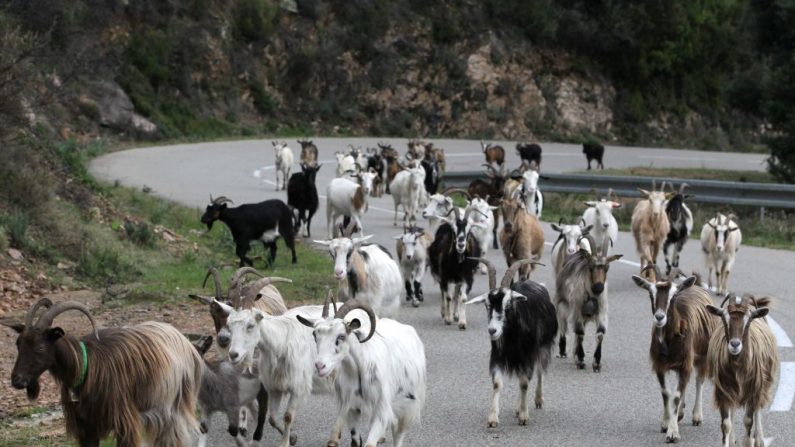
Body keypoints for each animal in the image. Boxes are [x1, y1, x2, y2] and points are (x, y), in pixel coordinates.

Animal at [3, 298, 202, 447]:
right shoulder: (86, 426)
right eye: (18, 344)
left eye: (40, 347)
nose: (17, 380)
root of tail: (183, 340)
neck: (86, 366)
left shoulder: (125, 422)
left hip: (174, 405)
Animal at [296, 296, 426, 446]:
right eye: (314, 334)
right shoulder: (352, 407)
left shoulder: (382, 410)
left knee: (398, 434)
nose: (320, 366)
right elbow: (355, 440)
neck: (360, 368)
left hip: (407, 405)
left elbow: (370, 442)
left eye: (341, 336)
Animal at [470, 260, 556, 430]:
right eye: (487, 306)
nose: (492, 330)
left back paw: (538, 399)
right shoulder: (498, 356)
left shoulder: (528, 356)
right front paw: (493, 418)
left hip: (543, 348)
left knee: (539, 372)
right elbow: (497, 384)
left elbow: (524, 383)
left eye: (508, 306)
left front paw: (524, 416)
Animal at [636, 272, 720, 444]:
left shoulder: (685, 363)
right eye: (650, 294)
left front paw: (673, 433)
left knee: (699, 381)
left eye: (673, 296)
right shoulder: (660, 364)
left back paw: (697, 416)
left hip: (703, 357)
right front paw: (666, 423)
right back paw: (680, 413)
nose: (659, 317)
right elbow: (667, 393)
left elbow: (676, 396)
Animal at [708, 294, 776, 447]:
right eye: (723, 318)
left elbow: (748, 420)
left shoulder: (753, 390)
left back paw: (759, 440)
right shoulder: (724, 390)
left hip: (763, 384)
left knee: (757, 409)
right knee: (733, 411)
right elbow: (726, 424)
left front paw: (749, 441)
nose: (735, 344)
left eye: (749, 319)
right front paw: (728, 441)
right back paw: (733, 440)